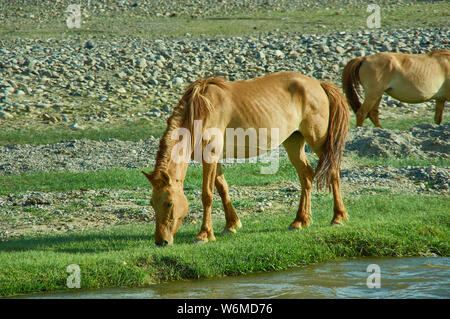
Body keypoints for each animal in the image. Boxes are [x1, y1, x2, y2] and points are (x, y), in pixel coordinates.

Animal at [142, 72, 350, 248]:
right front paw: (231, 225)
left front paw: (204, 234)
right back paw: (300, 221)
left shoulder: (211, 156)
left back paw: (338, 217)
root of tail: (319, 84)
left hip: (318, 140)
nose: (161, 241)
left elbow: (207, 195)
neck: (201, 111)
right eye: (152, 203)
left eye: (169, 203)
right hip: (293, 142)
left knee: (333, 172)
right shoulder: (214, 159)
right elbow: (222, 188)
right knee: (306, 176)